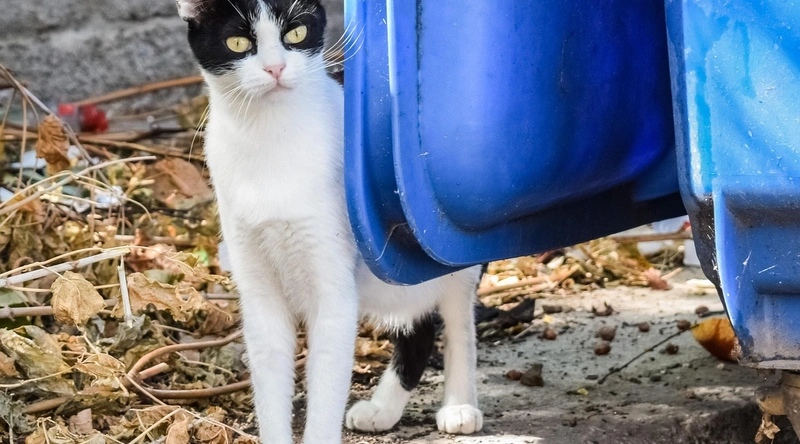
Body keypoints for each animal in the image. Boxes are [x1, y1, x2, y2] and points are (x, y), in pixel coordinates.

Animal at [175, 1, 483, 442]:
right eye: (238, 42)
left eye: (296, 33)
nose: (275, 68)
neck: (271, 138)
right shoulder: (259, 292)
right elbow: (270, 381)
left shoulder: (334, 291)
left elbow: (326, 384)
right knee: (418, 323)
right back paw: (383, 408)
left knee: (457, 315)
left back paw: (459, 404)